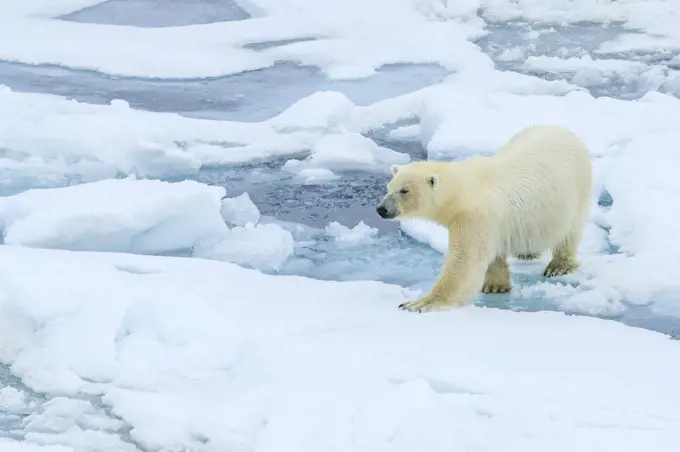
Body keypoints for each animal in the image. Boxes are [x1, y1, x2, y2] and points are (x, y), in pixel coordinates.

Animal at [374, 125, 592, 312]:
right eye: (389, 187)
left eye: (404, 191)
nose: (381, 209)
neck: (464, 190)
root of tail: (567, 132)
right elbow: (492, 253)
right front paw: (495, 285)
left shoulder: (474, 216)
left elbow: (465, 260)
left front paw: (418, 303)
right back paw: (527, 253)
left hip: (577, 188)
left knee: (569, 233)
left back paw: (558, 266)